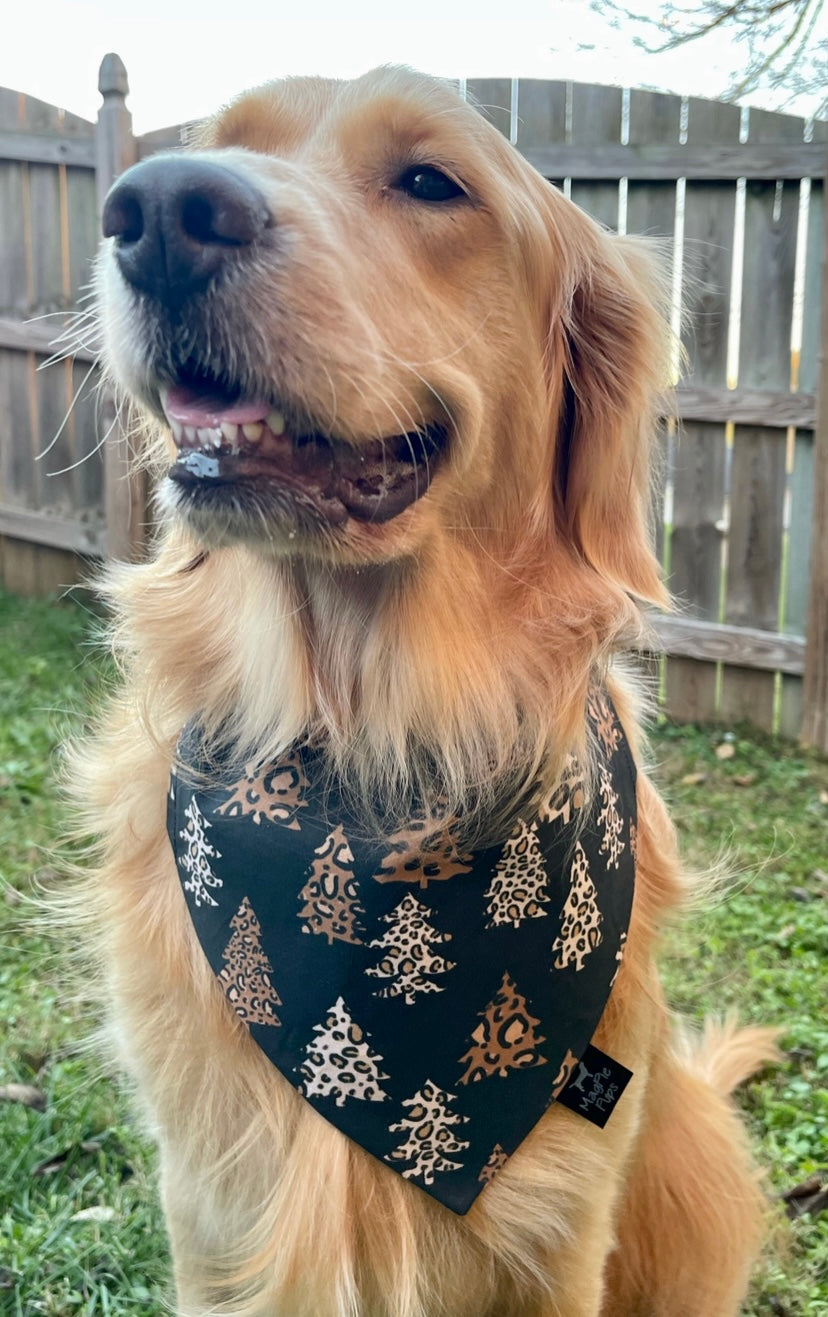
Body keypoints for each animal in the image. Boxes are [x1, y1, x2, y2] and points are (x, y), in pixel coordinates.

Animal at [69, 66, 774, 1311]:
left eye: (432, 182)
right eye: (228, 141)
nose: (154, 212)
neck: (374, 754)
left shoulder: (566, 1231)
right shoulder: (205, 1215)